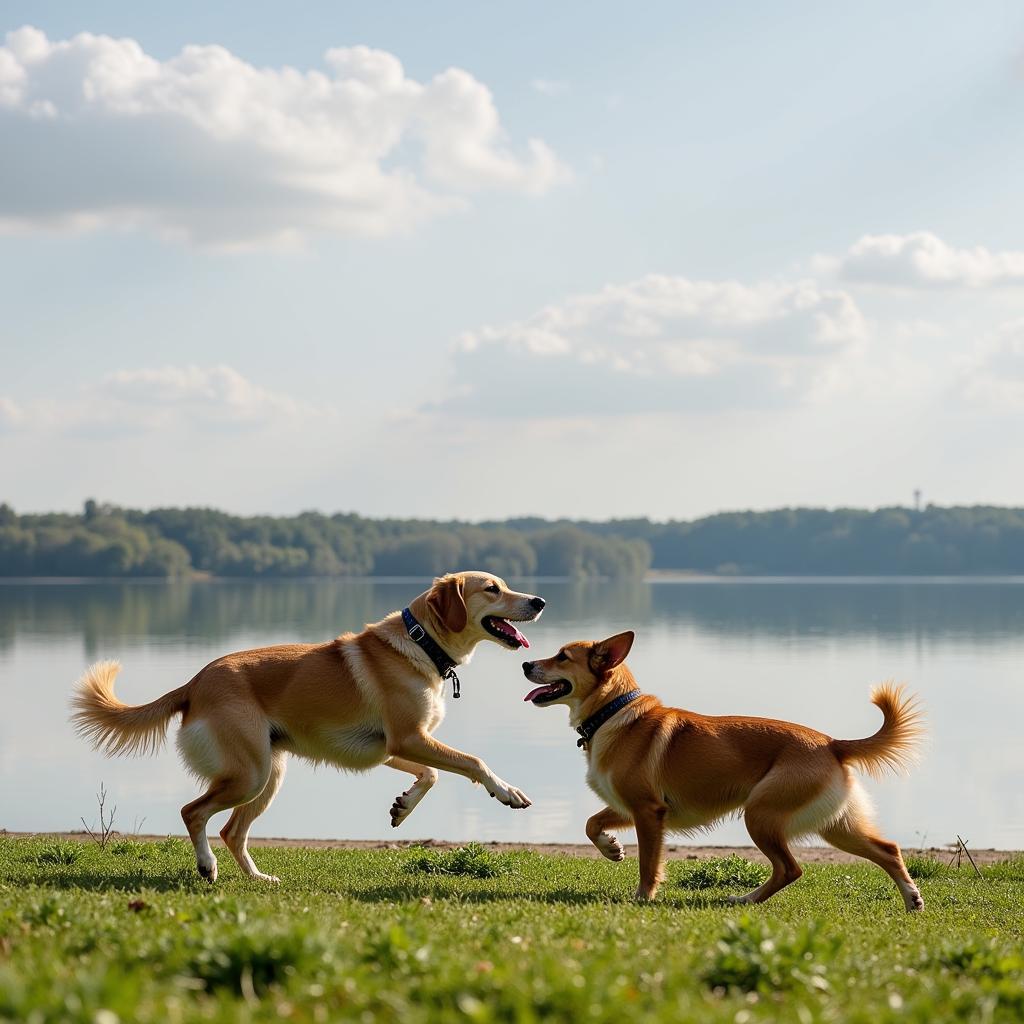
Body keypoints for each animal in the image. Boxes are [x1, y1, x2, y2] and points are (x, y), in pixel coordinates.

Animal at [72, 573, 544, 884]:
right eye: (492, 588)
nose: (539, 601)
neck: (419, 643)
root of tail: (194, 684)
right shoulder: (411, 738)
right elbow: (472, 761)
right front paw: (506, 791)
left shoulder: (393, 748)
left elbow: (430, 775)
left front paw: (403, 807)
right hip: (250, 776)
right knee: (195, 813)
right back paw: (207, 867)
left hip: (268, 776)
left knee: (230, 831)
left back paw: (258, 879)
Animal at [524, 630, 925, 913]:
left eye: (562, 656)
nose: (526, 664)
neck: (614, 713)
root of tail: (832, 743)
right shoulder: (629, 807)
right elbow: (591, 823)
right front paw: (611, 848)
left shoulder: (648, 812)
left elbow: (648, 864)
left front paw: (643, 896)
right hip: (835, 825)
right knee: (888, 850)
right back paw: (912, 899)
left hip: (760, 814)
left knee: (790, 869)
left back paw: (745, 900)